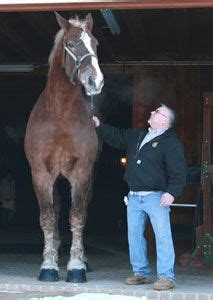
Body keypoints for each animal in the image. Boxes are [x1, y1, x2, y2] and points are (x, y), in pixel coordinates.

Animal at [24, 12, 104, 284]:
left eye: (95, 43)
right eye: (71, 44)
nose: (95, 81)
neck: (59, 116)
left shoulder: (81, 173)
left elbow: (77, 216)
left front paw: (76, 266)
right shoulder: (41, 173)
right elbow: (48, 216)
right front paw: (48, 265)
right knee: (57, 208)